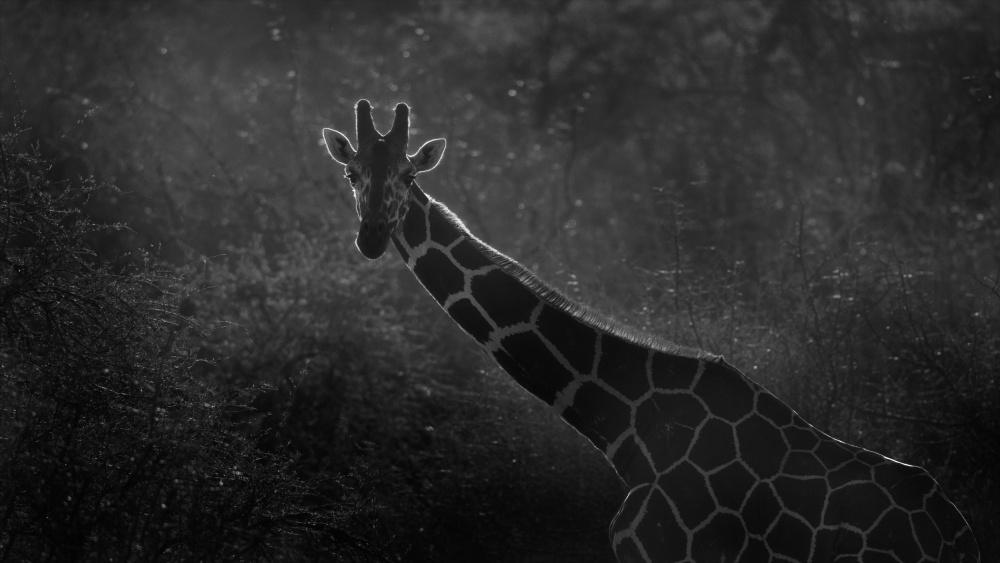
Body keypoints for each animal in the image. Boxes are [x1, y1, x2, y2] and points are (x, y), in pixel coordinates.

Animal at [321, 100, 980, 563]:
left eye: (408, 175)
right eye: (351, 172)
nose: (372, 236)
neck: (625, 424)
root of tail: (957, 538)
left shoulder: (665, 550)